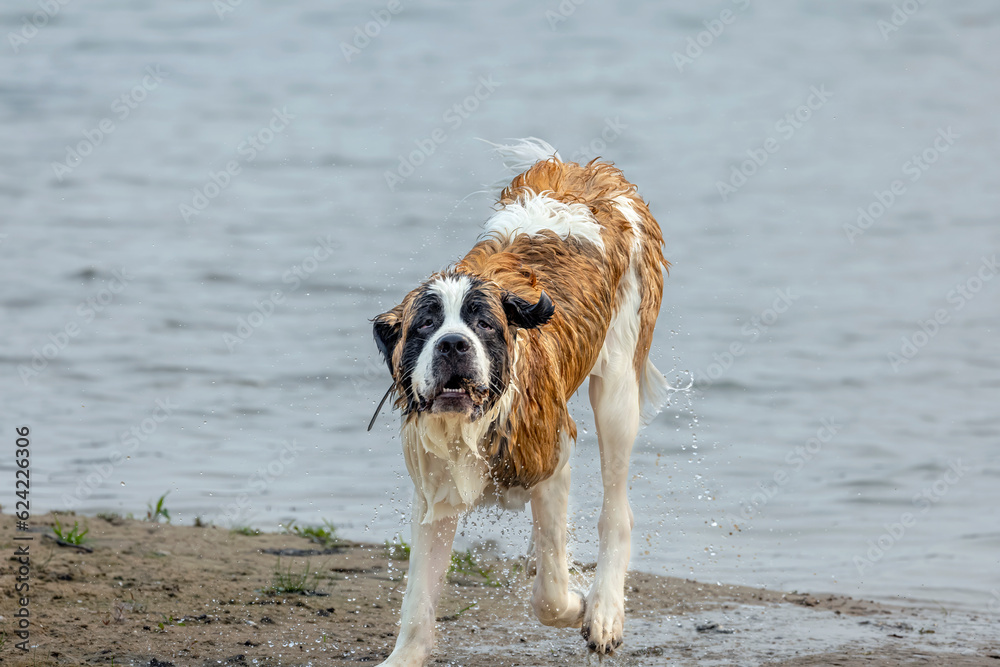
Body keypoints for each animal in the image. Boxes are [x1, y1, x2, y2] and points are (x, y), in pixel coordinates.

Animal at [372, 137, 668, 664]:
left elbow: (549, 593)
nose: (453, 345)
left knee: (617, 509)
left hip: (618, 387)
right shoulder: (435, 488)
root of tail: (590, 173)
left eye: (484, 323)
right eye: (425, 324)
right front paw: (406, 653)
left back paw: (605, 609)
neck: (474, 422)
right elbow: (419, 598)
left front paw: (579, 605)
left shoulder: (553, 458)